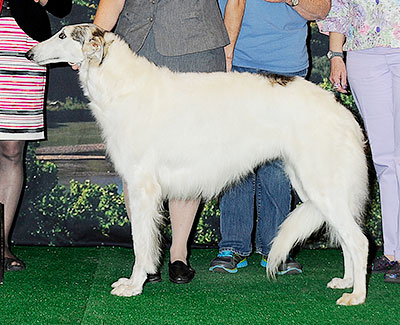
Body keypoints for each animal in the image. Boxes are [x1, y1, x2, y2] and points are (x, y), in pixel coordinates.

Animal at [26, 23, 368, 304]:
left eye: (63, 35)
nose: (29, 53)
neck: (123, 84)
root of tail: (340, 107)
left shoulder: (142, 186)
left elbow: (140, 244)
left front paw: (134, 285)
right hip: (313, 186)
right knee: (347, 240)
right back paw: (345, 282)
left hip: (321, 185)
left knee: (360, 241)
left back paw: (357, 296)